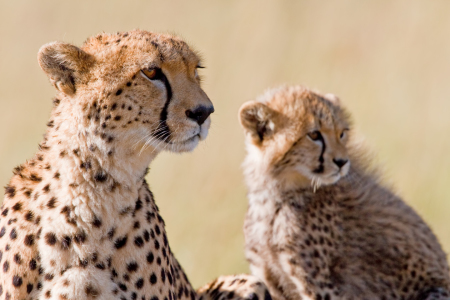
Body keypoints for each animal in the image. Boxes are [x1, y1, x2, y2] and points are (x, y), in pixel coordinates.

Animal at [239, 85, 450, 300]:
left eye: (341, 133)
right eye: (314, 135)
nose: (342, 162)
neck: (274, 193)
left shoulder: (322, 287)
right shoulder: (272, 281)